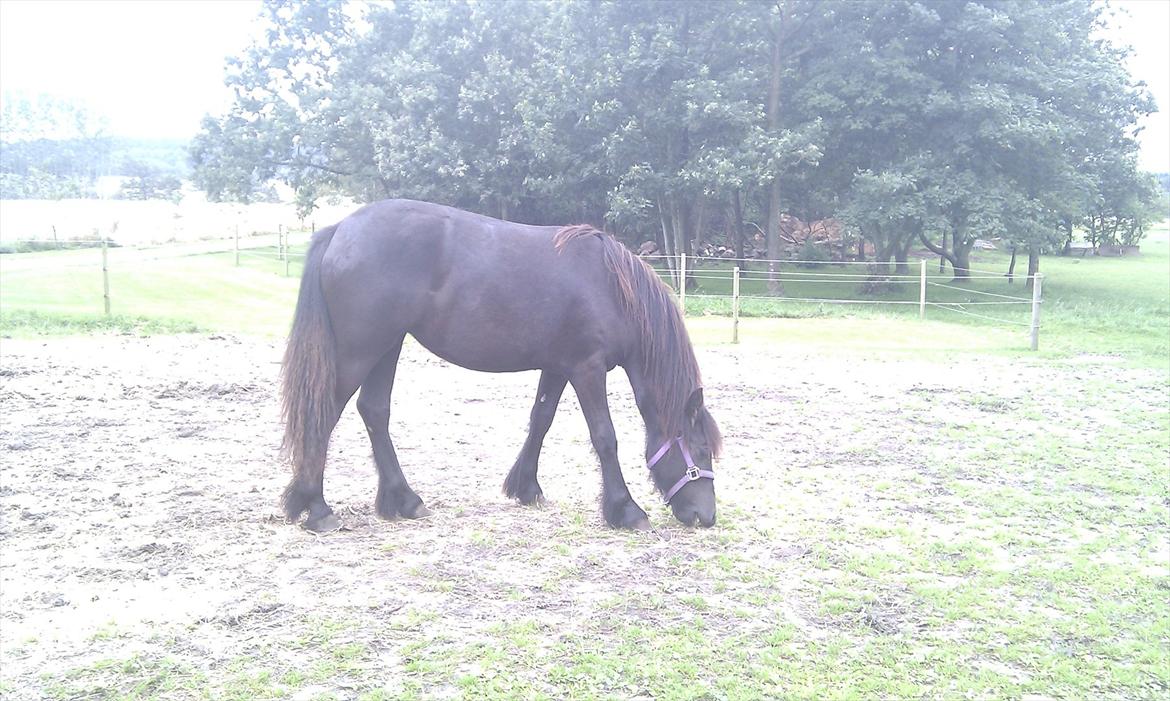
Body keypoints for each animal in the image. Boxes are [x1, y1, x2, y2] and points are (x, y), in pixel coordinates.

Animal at [280, 199, 722, 532]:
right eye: (701, 449)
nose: (706, 516)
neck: (611, 287)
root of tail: (339, 230)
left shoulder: (558, 367)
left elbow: (540, 420)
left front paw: (525, 488)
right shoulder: (587, 369)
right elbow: (604, 436)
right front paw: (626, 509)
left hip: (388, 347)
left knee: (374, 411)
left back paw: (404, 500)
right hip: (361, 350)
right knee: (324, 413)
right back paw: (316, 508)